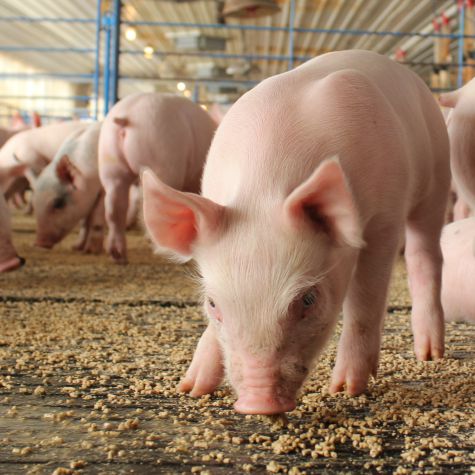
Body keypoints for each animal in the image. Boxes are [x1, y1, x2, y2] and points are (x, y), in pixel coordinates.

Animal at [33, 122, 104, 253]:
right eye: (34, 202)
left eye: (58, 203)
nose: (39, 243)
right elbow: (85, 222)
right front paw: (76, 248)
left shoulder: (103, 191)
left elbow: (96, 219)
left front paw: (91, 251)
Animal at [141, 50, 450, 414]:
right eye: (213, 303)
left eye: (308, 299)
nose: (258, 403)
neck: (264, 189)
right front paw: (190, 388)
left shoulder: (384, 218)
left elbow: (365, 300)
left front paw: (346, 390)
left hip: (436, 181)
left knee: (424, 254)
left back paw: (429, 354)